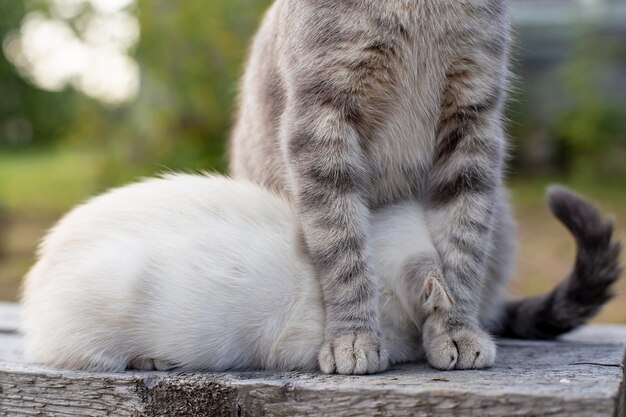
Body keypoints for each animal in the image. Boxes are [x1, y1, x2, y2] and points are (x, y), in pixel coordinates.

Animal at [228, 0, 620, 372]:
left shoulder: (471, 120)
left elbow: (462, 247)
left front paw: (457, 330)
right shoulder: (322, 123)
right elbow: (344, 248)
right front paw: (353, 336)